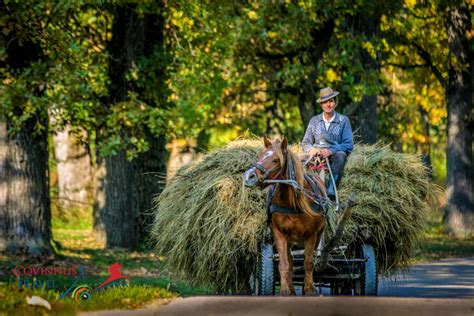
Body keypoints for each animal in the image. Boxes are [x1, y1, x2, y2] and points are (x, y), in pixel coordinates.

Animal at [243, 137, 328, 296]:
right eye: (260, 155)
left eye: (276, 160)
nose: (249, 176)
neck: (292, 201)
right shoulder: (279, 233)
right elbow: (284, 263)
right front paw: (285, 290)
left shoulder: (311, 235)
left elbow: (308, 263)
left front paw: (309, 290)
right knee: (291, 260)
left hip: (318, 235)